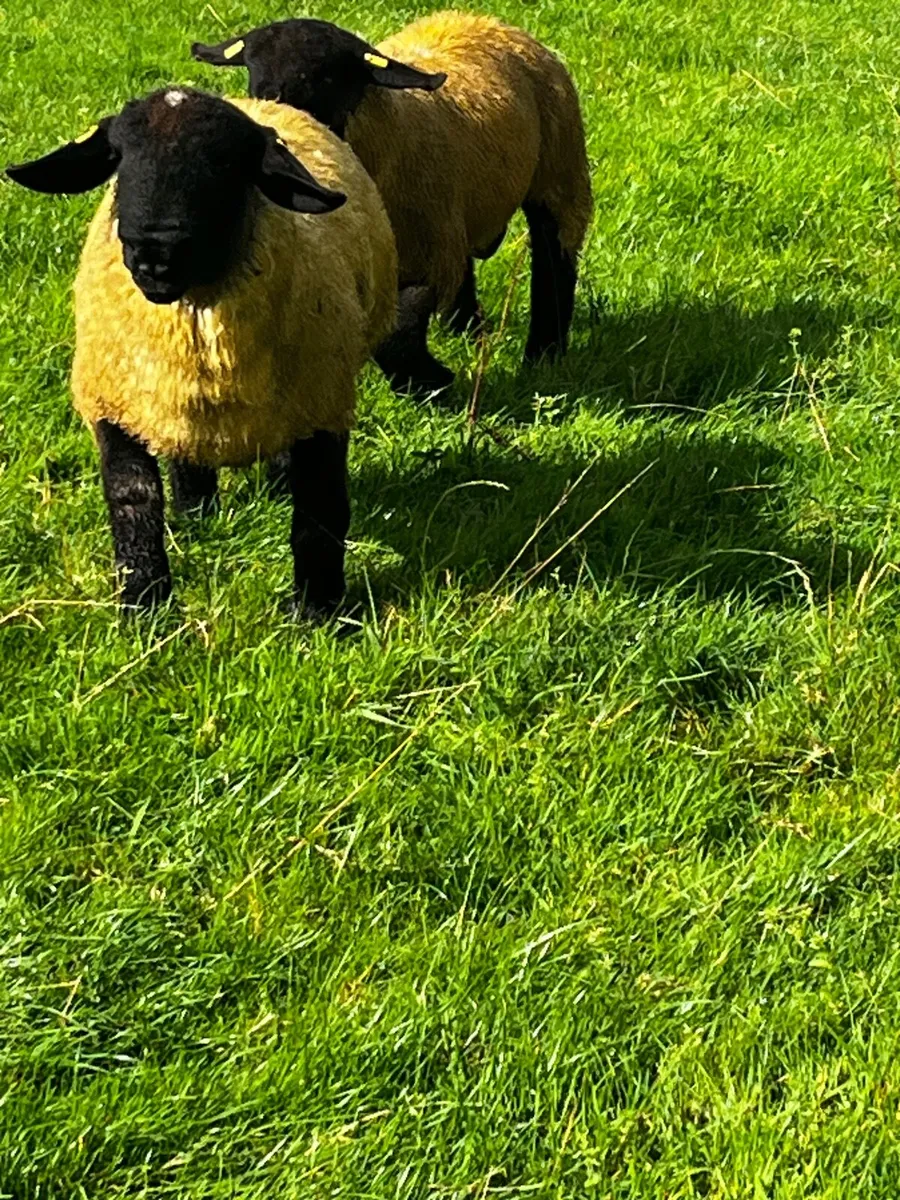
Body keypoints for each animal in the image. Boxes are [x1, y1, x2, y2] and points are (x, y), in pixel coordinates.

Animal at [6, 88, 397, 616]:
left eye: (227, 163)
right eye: (118, 156)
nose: (154, 253)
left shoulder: (321, 405)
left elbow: (320, 511)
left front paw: (319, 611)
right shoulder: (115, 399)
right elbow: (133, 498)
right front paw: (145, 604)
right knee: (186, 457)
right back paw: (196, 515)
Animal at [191, 10, 593, 396]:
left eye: (328, 77)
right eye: (252, 72)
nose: (279, 129)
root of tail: (483, 20)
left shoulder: (426, 258)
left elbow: (396, 335)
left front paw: (432, 383)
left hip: (560, 170)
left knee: (555, 259)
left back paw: (544, 355)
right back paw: (468, 330)